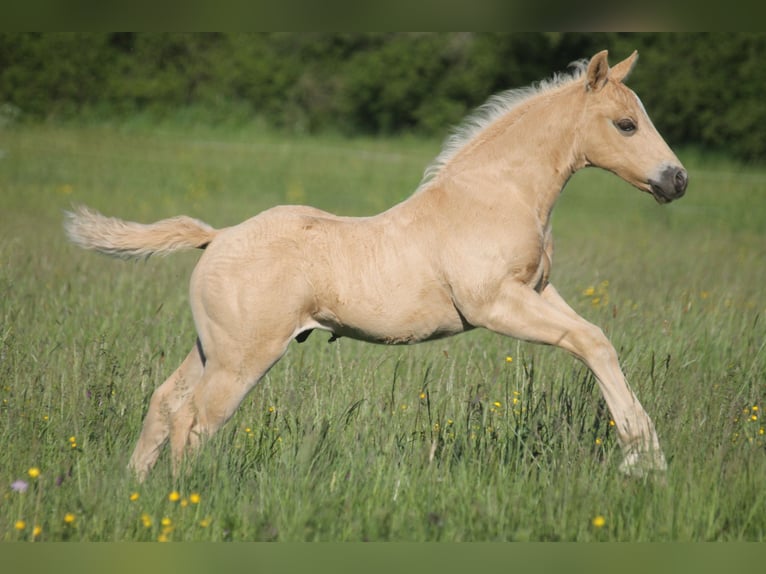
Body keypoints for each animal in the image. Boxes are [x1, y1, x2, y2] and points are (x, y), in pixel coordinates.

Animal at [65, 50, 687, 482]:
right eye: (626, 125)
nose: (677, 180)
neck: (495, 194)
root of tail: (217, 238)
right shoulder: (495, 305)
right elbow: (592, 342)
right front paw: (643, 461)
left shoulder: (537, 291)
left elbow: (597, 341)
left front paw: (647, 454)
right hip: (242, 359)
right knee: (193, 420)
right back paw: (186, 502)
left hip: (211, 348)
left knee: (164, 403)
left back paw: (132, 492)